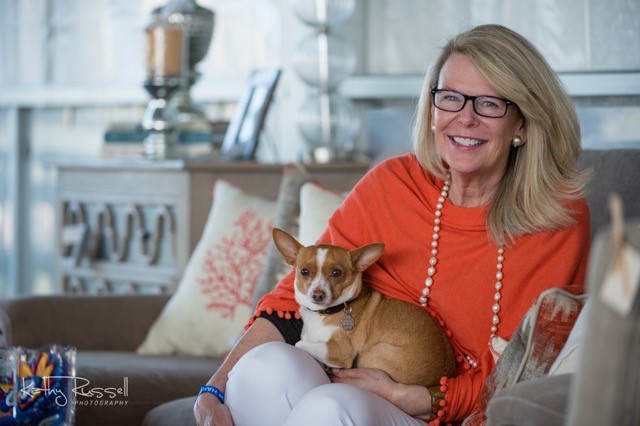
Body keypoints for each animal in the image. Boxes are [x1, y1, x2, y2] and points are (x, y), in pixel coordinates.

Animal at [272, 228, 455, 387]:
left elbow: (299, 343)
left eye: (336, 273)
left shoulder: (341, 351)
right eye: (304, 271)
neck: (324, 314)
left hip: (371, 355)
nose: (318, 295)